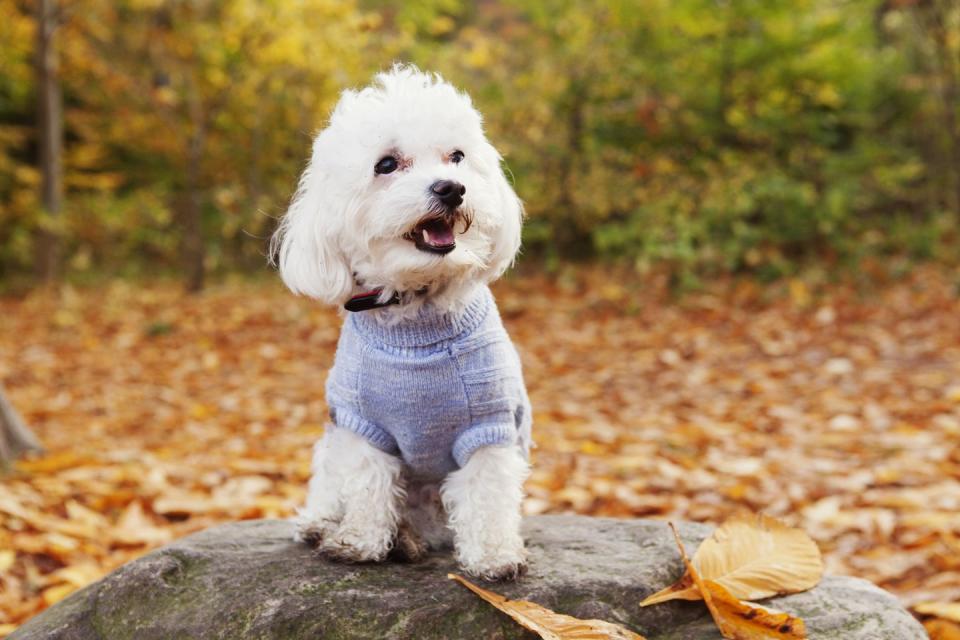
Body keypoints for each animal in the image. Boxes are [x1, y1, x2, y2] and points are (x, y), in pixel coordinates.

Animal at [270, 63, 532, 580]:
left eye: (457, 158)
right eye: (387, 165)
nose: (452, 188)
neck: (419, 308)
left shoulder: (490, 424)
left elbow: (487, 492)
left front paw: (494, 555)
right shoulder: (362, 424)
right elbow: (368, 484)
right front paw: (359, 542)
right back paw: (324, 525)